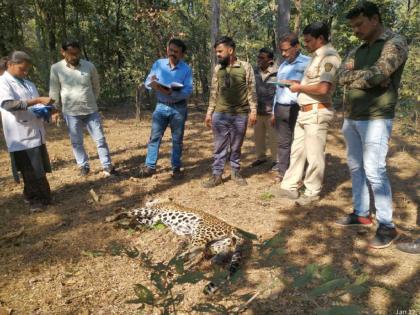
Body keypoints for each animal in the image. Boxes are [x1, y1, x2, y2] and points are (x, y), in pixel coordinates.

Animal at [110, 199, 251, 296]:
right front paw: (125, 221)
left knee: (194, 250)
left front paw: (114, 217)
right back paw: (193, 263)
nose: (148, 199)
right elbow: (138, 218)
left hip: (200, 233)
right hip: (216, 244)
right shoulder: (153, 220)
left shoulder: (152, 211)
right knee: (204, 254)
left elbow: (131, 211)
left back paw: (172, 264)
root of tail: (232, 228)